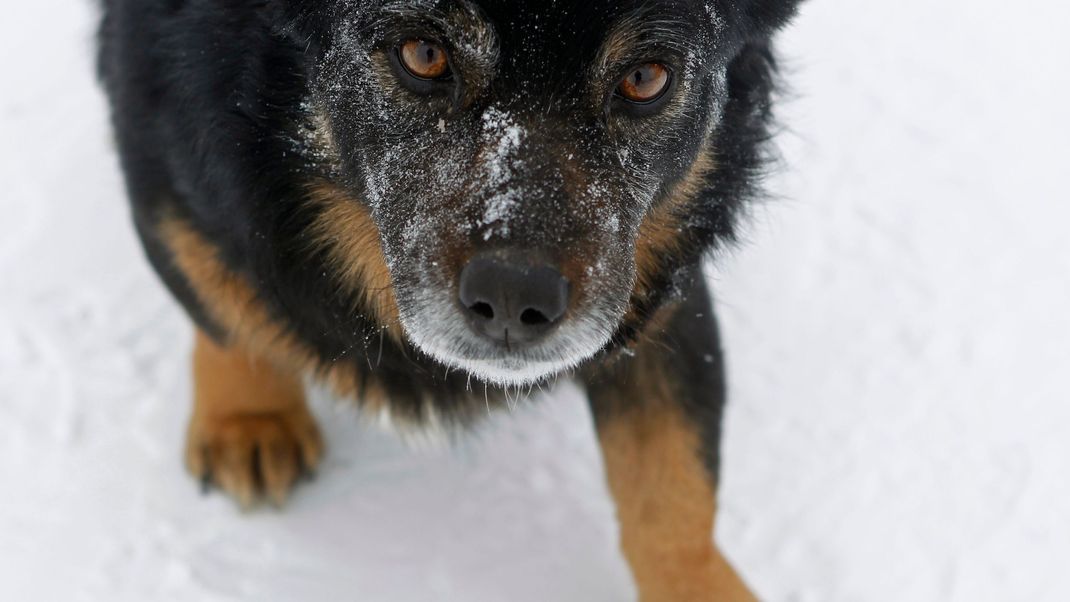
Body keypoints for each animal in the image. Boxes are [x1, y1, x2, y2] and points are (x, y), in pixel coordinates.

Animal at [100, 0, 800, 598]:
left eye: (646, 77)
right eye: (423, 54)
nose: (515, 297)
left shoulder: (659, 288)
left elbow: (672, 488)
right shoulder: (164, 170)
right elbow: (218, 296)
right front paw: (248, 417)